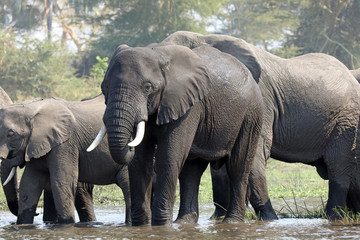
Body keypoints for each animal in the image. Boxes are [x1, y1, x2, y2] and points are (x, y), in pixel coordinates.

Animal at [0, 94, 131, 224]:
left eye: (11, 134)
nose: (37, 212)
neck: (33, 107)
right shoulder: (36, 144)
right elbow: (29, 184)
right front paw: (24, 225)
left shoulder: (65, 144)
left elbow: (62, 182)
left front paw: (67, 224)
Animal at [89, 44, 264, 226]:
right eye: (105, 86)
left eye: (147, 87)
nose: (129, 145)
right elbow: (140, 161)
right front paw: (141, 226)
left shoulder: (188, 106)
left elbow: (168, 157)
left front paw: (161, 226)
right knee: (191, 172)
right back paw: (184, 222)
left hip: (251, 114)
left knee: (238, 166)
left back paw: (231, 222)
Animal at [163, 30, 360, 221]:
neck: (206, 37)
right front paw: (216, 220)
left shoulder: (259, 98)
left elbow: (254, 151)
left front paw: (269, 219)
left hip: (346, 121)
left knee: (337, 165)